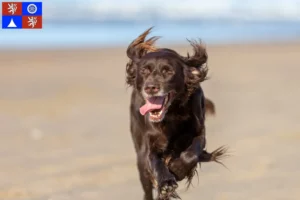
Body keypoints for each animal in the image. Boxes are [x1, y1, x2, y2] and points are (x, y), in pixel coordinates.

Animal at [125, 27, 226, 199]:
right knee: (147, 188)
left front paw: (177, 169)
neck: (172, 114)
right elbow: (155, 161)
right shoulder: (149, 145)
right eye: (144, 70)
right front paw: (166, 183)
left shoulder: (199, 133)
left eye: (168, 71)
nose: (150, 87)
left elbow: (191, 153)